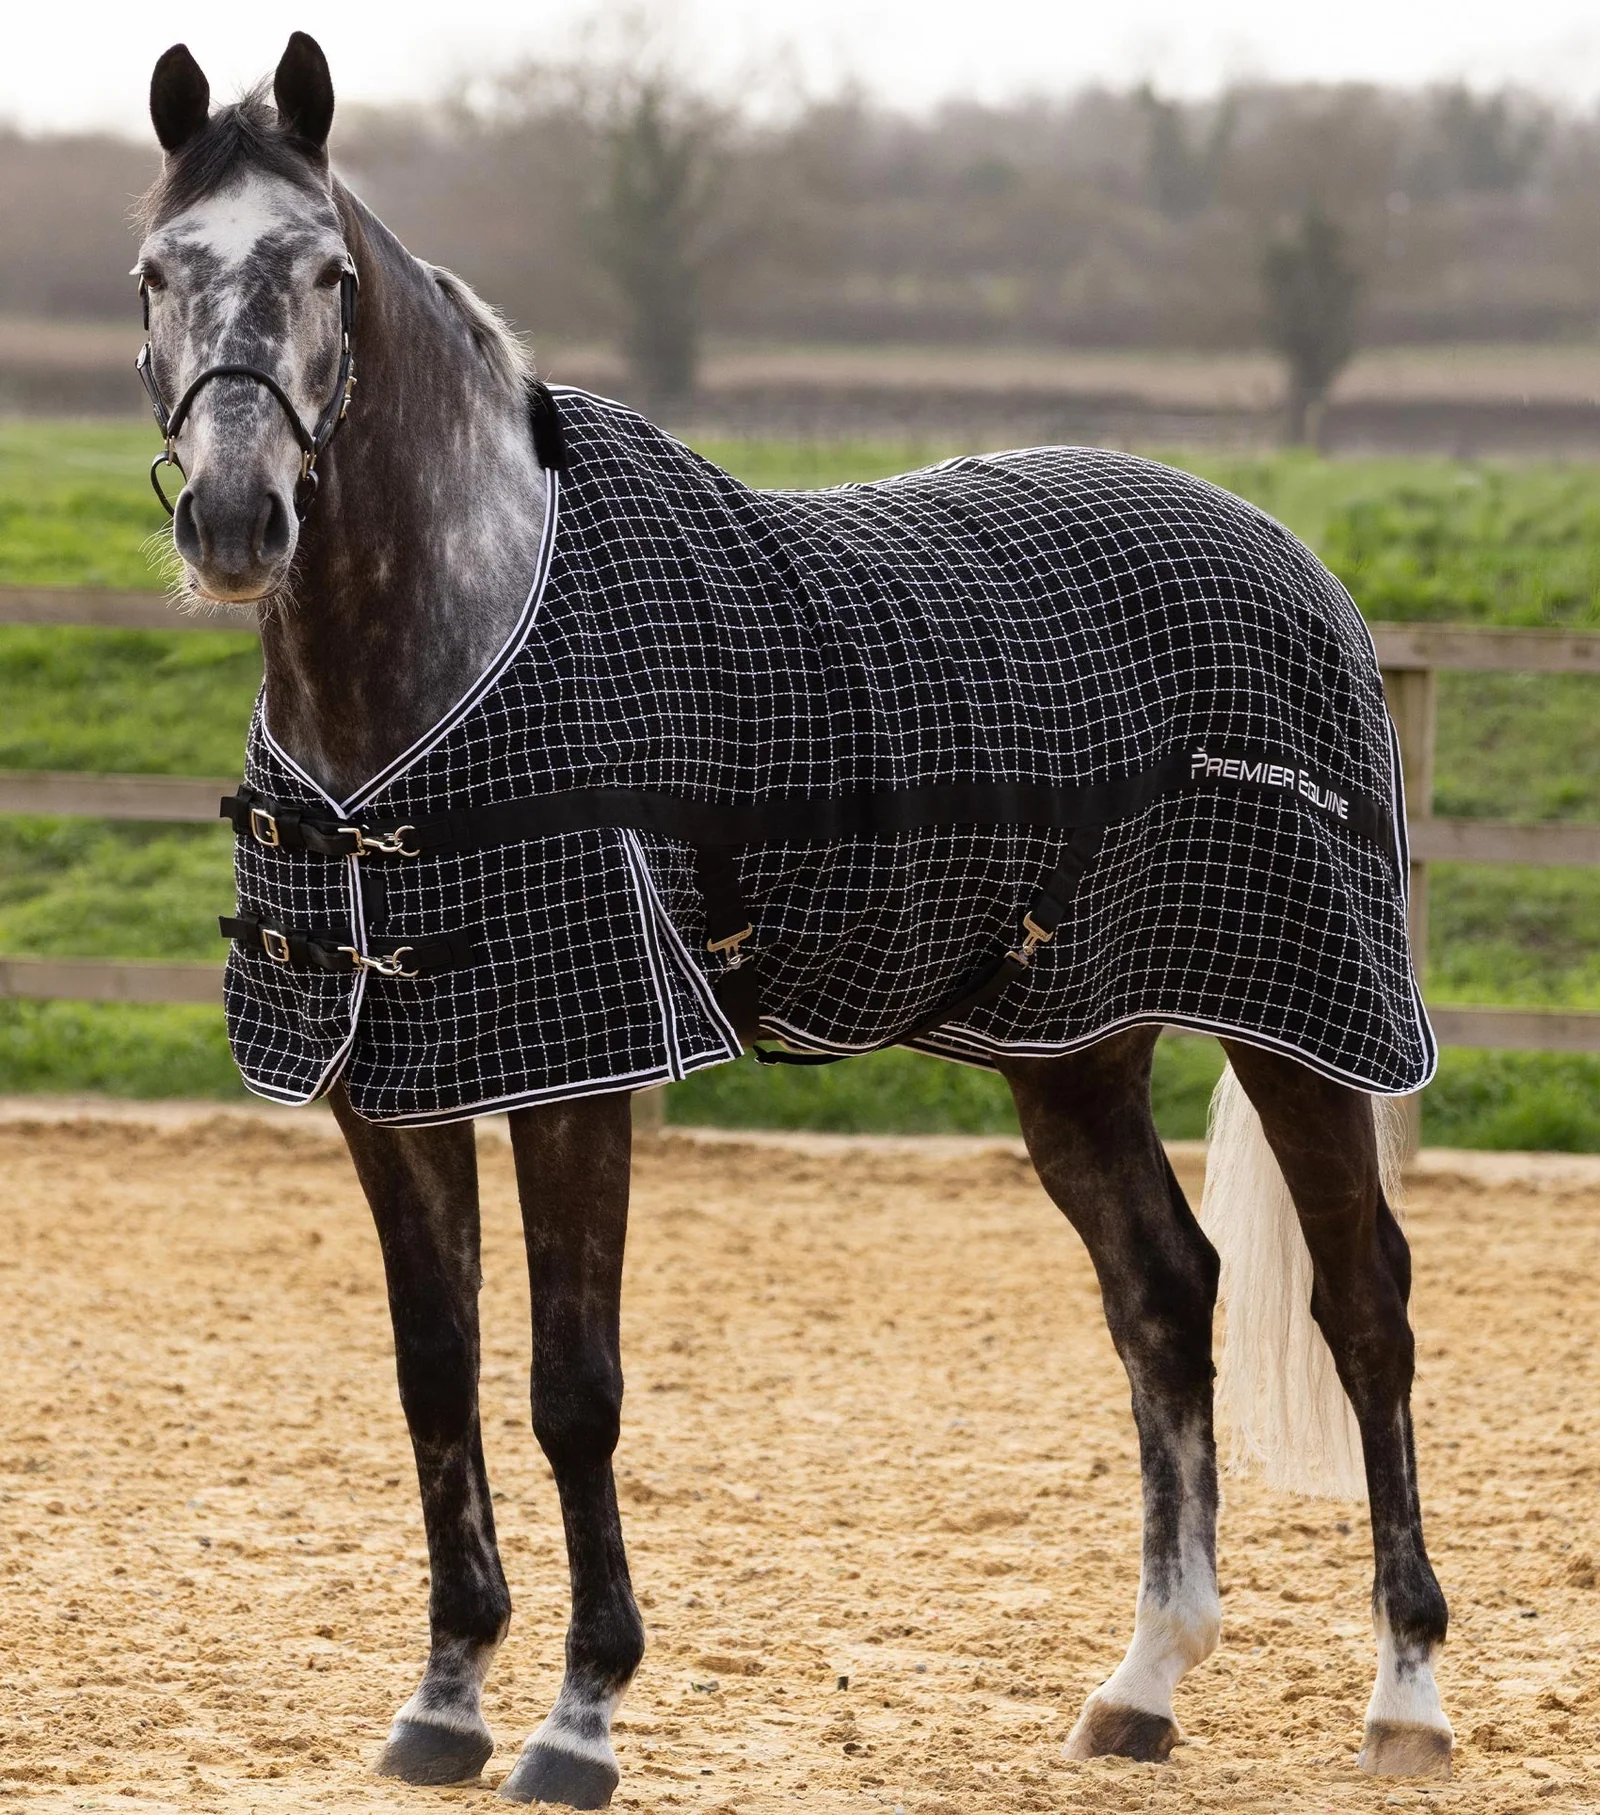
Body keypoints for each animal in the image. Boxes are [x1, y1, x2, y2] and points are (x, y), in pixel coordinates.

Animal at [131, 33, 1453, 1805]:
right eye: (155, 272)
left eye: (325, 271)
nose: (232, 520)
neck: (442, 657)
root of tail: (1293, 559)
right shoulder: (387, 1080)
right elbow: (435, 1377)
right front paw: (444, 1700)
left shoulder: (580, 1065)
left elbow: (571, 1388)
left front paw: (578, 1716)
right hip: (1075, 1046)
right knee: (1168, 1294)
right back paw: (1143, 1680)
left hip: (1299, 1008)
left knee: (1362, 1303)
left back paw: (1407, 1693)